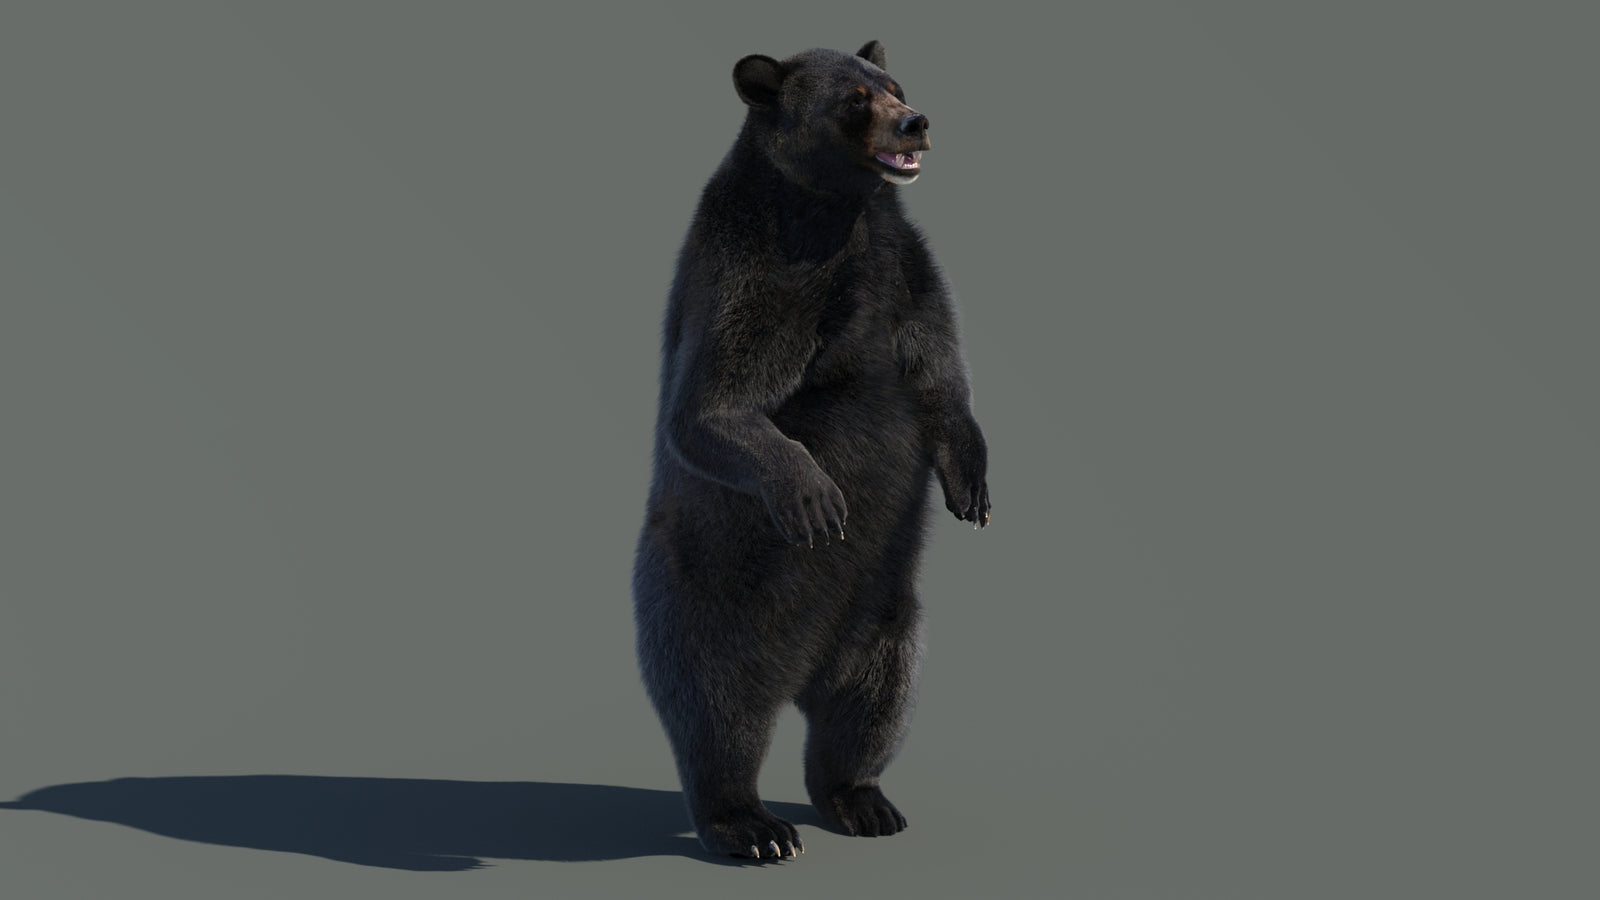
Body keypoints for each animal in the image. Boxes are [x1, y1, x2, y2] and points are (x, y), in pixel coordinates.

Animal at [632, 40, 990, 861]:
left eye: (895, 84)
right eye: (854, 100)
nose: (917, 121)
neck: (837, 209)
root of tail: (799, 670)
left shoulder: (903, 266)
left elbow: (939, 368)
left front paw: (973, 486)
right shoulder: (759, 268)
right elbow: (714, 404)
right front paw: (817, 497)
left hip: (887, 615)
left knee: (871, 701)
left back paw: (863, 800)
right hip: (707, 598)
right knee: (718, 709)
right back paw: (752, 826)